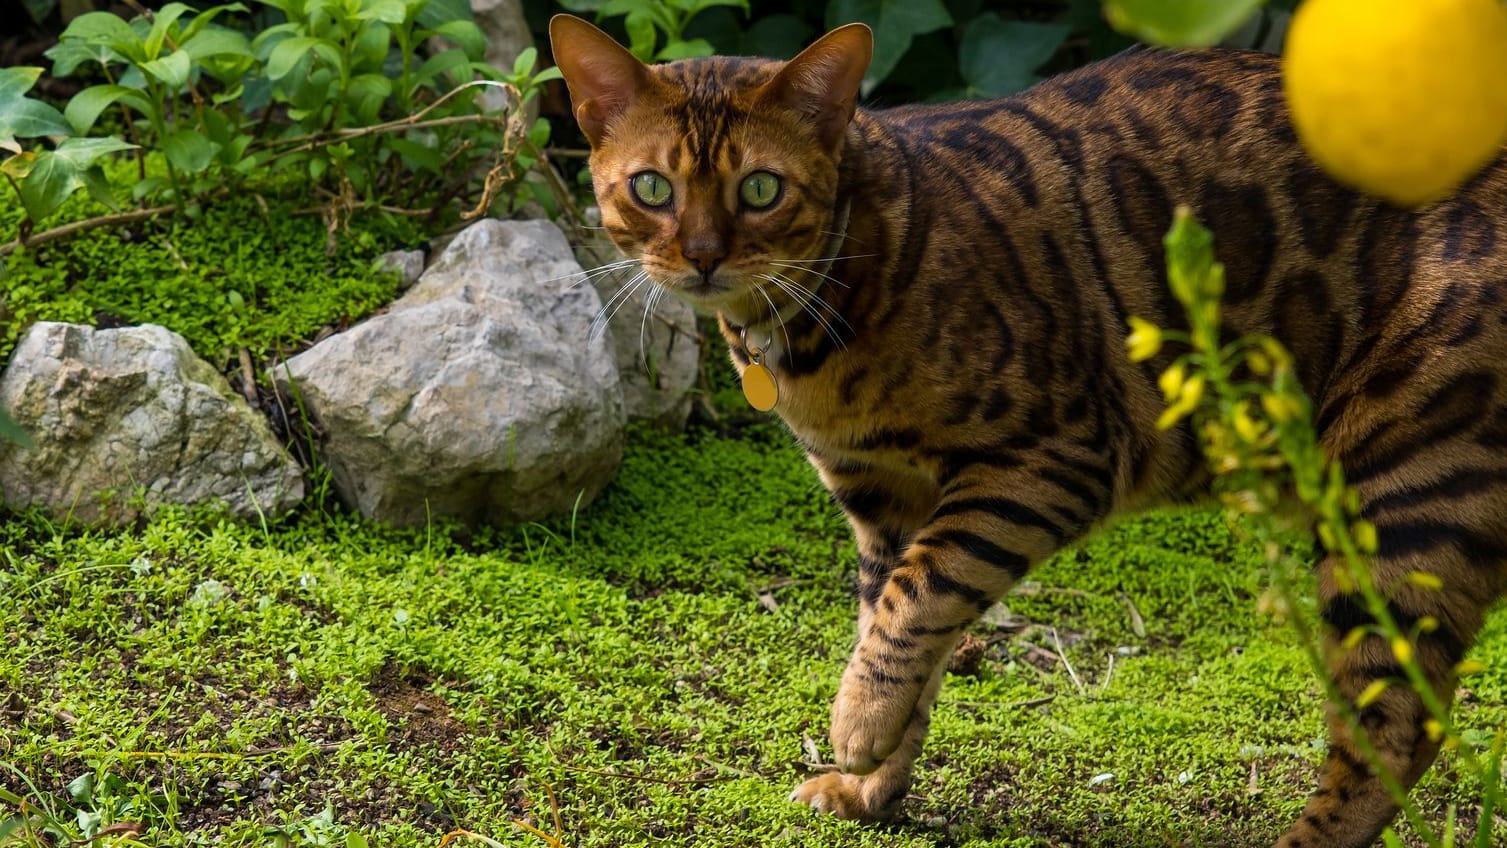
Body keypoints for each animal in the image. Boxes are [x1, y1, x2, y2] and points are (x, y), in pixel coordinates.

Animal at [554, 14, 1507, 848]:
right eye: (651, 188)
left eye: (759, 188)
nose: (702, 256)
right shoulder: (881, 501)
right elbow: (901, 631)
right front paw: (874, 784)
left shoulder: (1052, 460)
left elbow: (913, 597)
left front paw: (855, 726)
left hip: (1400, 494)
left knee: (1396, 725)